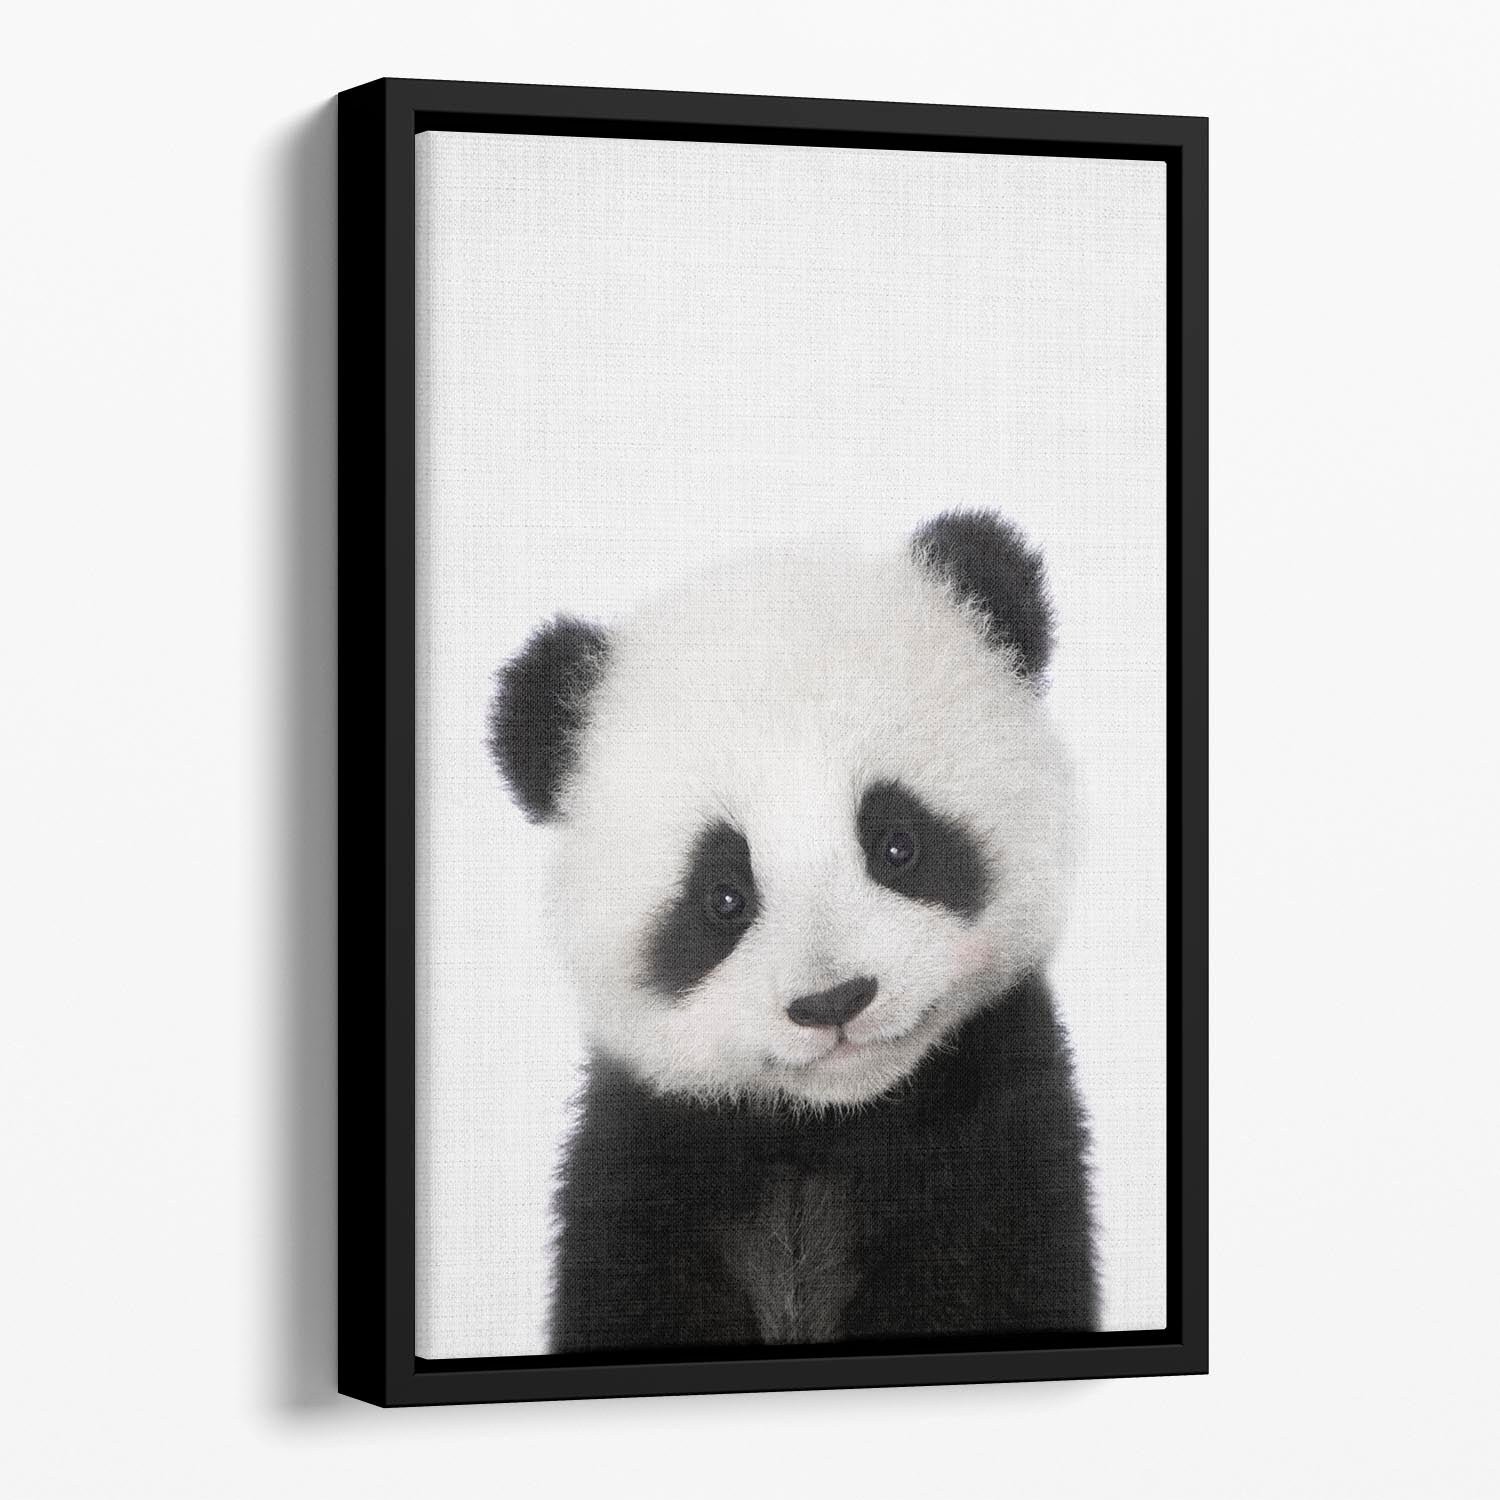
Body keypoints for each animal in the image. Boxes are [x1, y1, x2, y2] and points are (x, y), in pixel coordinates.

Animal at [488, 510, 1096, 1351]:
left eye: (897, 844)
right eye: (723, 896)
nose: (833, 1001)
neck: (826, 1127)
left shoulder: (995, 1141)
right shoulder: (647, 1168)